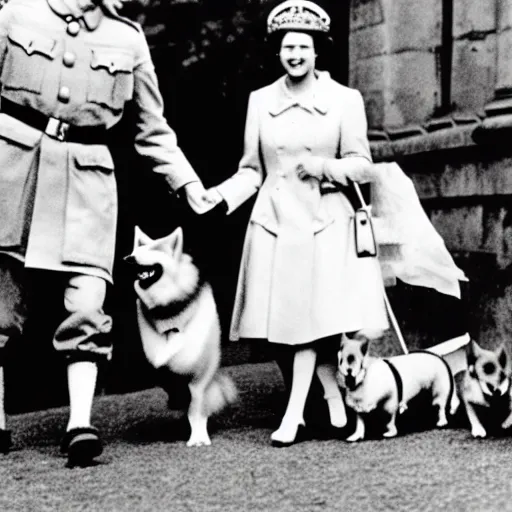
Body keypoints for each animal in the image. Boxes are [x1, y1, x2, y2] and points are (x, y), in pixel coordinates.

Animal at [128, 226, 240, 446]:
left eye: (155, 249)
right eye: (137, 249)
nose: (128, 258)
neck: (169, 309)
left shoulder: (202, 373)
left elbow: (196, 406)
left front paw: (198, 437)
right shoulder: (157, 356)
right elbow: (165, 370)